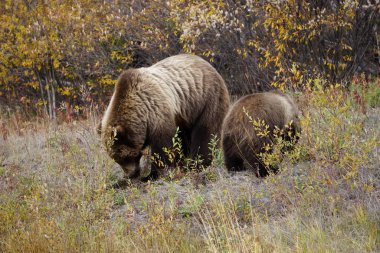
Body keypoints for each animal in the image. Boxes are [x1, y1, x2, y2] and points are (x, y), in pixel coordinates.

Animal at [99, 54, 229, 180]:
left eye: (125, 157)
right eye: (116, 159)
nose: (130, 174)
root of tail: (208, 64)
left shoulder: (156, 111)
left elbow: (162, 146)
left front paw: (152, 174)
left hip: (206, 100)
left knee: (205, 132)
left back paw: (197, 164)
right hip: (185, 114)